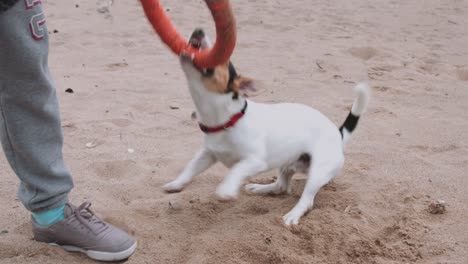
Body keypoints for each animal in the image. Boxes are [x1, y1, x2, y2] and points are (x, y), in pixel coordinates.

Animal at [163, 29, 372, 226]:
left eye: (225, 60)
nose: (198, 31)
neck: (227, 121)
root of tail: (338, 133)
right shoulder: (208, 154)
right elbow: (190, 168)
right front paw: (175, 184)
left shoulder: (255, 160)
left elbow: (235, 170)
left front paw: (225, 190)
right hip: (287, 164)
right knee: (282, 187)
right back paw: (259, 188)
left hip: (318, 172)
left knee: (307, 201)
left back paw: (293, 214)